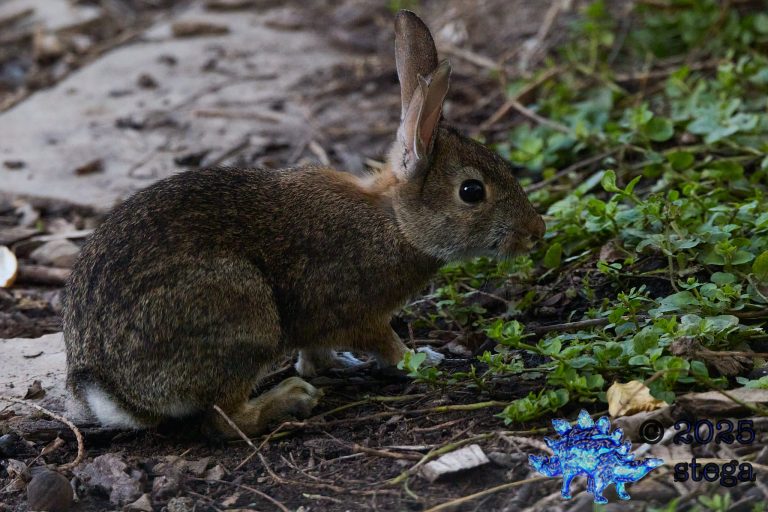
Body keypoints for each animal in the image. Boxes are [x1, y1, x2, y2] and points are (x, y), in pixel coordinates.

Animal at [63, 10, 546, 438]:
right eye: (472, 191)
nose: (536, 232)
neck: (396, 222)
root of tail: (115, 391)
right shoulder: (360, 312)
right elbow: (388, 346)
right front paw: (423, 360)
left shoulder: (318, 328)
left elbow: (316, 352)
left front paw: (338, 365)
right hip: (243, 315)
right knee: (224, 421)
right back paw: (292, 398)